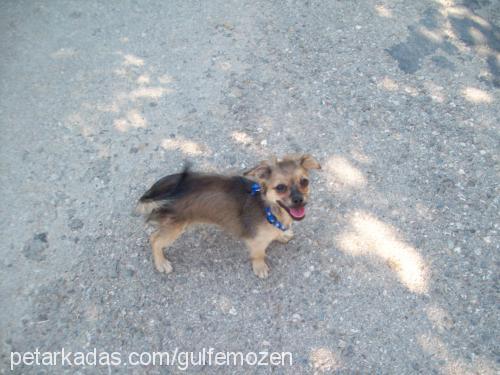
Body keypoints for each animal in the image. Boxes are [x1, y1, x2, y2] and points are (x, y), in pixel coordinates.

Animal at [137, 154, 320, 278]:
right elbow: (258, 254)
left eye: (304, 181)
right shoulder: (255, 241)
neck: (269, 209)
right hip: (175, 227)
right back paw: (161, 263)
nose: (299, 200)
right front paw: (260, 267)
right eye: (281, 187)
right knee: (154, 239)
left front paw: (282, 235)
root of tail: (160, 188)